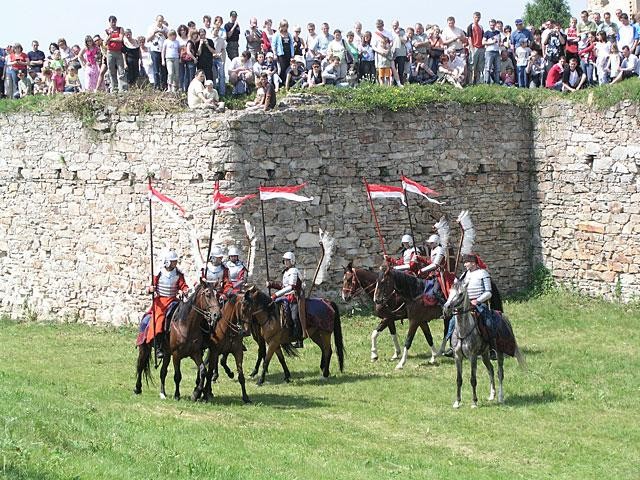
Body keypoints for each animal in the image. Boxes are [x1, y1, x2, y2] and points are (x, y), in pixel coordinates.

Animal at [442, 278, 528, 408]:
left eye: (461, 294)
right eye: (450, 292)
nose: (446, 307)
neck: (464, 330)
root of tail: (503, 316)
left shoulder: (472, 356)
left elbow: (473, 379)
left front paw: (474, 402)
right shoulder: (457, 356)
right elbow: (459, 379)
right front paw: (457, 402)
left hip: (499, 352)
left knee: (499, 372)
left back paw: (500, 397)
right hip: (484, 354)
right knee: (491, 369)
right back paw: (492, 395)